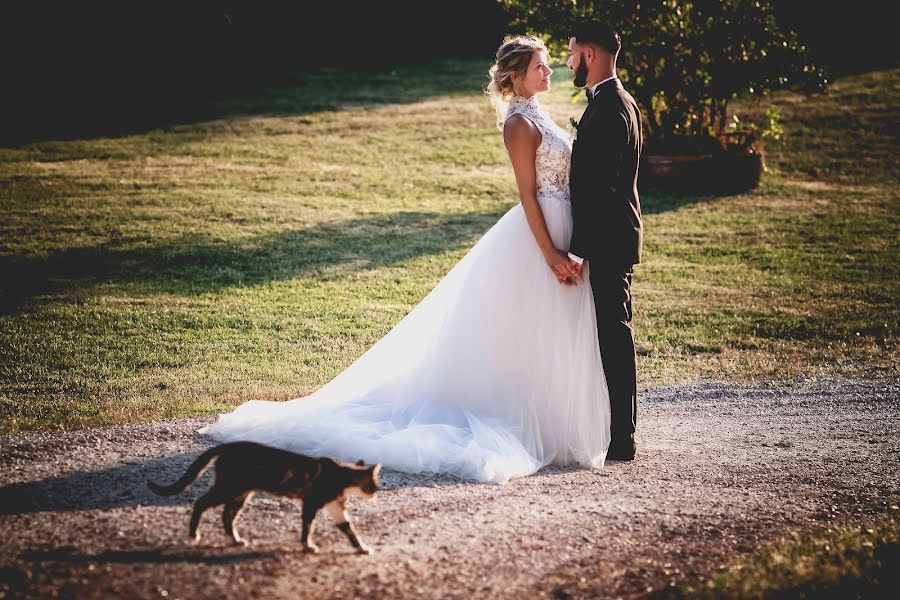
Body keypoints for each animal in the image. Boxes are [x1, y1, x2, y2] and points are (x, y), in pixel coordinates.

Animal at [149, 440, 382, 552]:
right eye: (373, 485)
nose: (376, 493)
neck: (341, 479)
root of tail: (226, 447)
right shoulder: (310, 502)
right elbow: (308, 526)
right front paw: (308, 546)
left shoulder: (335, 508)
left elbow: (349, 530)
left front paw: (362, 548)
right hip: (229, 487)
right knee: (201, 502)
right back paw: (193, 534)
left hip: (241, 493)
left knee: (227, 515)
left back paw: (235, 540)